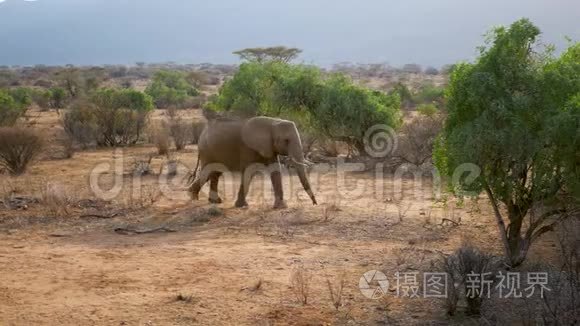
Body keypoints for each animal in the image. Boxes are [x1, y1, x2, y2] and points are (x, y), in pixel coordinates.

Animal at [189, 116, 318, 209]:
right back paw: (193, 197)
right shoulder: (248, 148)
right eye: (286, 140)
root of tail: (202, 133)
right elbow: (249, 171)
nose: (314, 203)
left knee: (215, 173)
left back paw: (214, 201)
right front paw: (241, 206)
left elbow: (276, 170)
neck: (272, 123)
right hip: (207, 150)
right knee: (209, 172)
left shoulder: (270, 147)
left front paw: (280, 207)